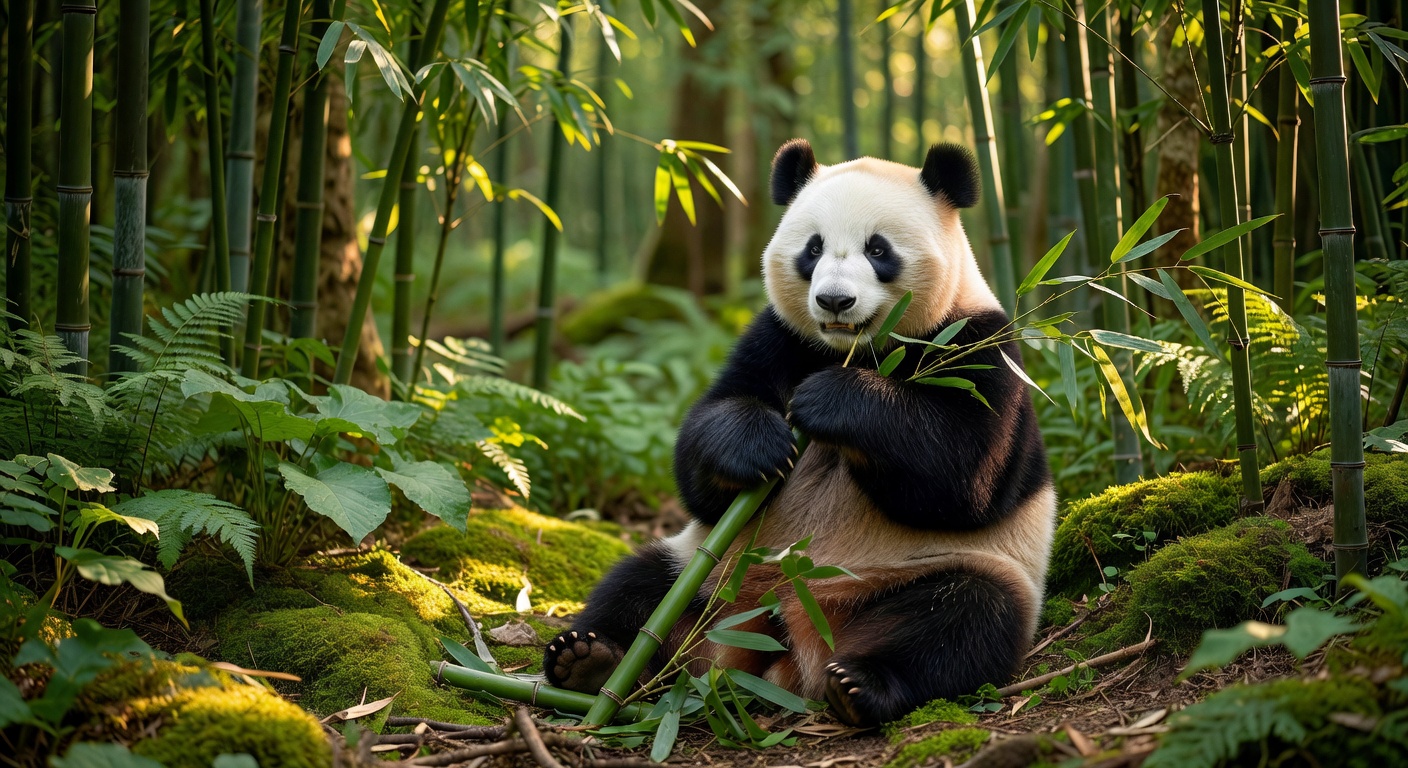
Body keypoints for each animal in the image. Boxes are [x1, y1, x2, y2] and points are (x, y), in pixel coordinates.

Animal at [543, 139, 1056, 727]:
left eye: (878, 249)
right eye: (813, 248)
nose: (834, 301)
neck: (857, 351)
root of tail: (785, 642)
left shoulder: (978, 345)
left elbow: (966, 472)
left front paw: (830, 402)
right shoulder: (779, 337)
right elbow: (705, 446)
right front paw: (758, 445)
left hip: (934, 569)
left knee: (962, 619)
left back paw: (861, 684)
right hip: (705, 571)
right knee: (639, 584)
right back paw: (588, 661)